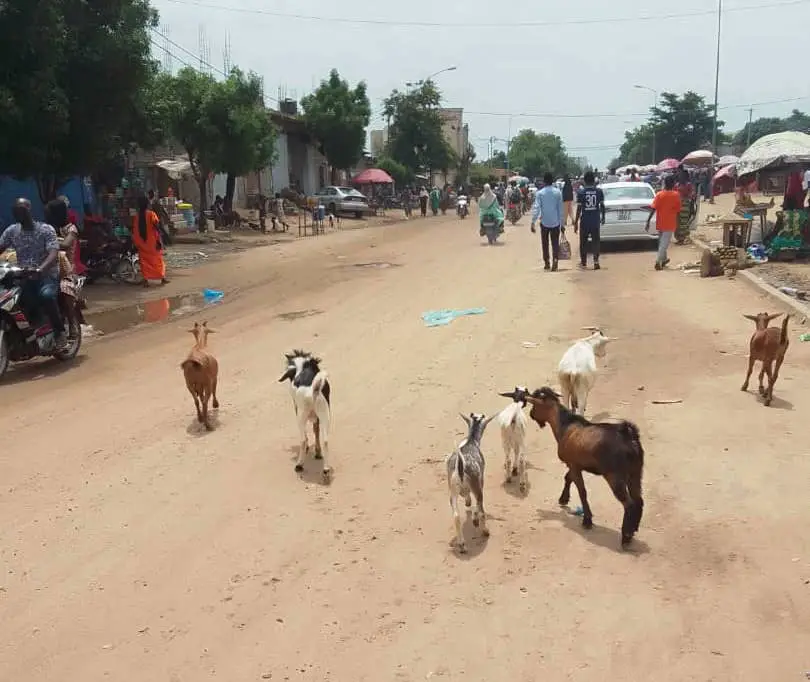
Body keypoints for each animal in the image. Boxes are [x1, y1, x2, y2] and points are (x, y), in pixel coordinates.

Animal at [276, 350, 330, 478]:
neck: (303, 367)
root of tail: (312, 392)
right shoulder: (317, 418)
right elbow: (316, 430)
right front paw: (318, 453)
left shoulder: (296, 409)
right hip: (325, 414)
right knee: (325, 440)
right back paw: (326, 469)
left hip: (301, 416)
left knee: (303, 440)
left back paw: (299, 465)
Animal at [442, 412, 492, 548]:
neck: (471, 441)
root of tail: (460, 466)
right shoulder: (480, 481)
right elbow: (477, 507)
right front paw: (475, 520)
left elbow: (467, 497)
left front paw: (468, 503)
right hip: (477, 487)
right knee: (481, 510)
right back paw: (485, 531)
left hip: (452, 489)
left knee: (456, 516)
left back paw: (461, 543)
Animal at [524, 388, 644, 548]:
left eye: (535, 404)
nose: (531, 414)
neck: (565, 426)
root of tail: (629, 437)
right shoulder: (574, 464)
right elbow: (568, 478)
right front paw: (563, 499)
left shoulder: (574, 465)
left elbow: (582, 491)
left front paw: (587, 520)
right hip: (635, 472)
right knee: (639, 500)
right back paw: (634, 528)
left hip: (615, 476)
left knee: (629, 504)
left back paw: (626, 536)